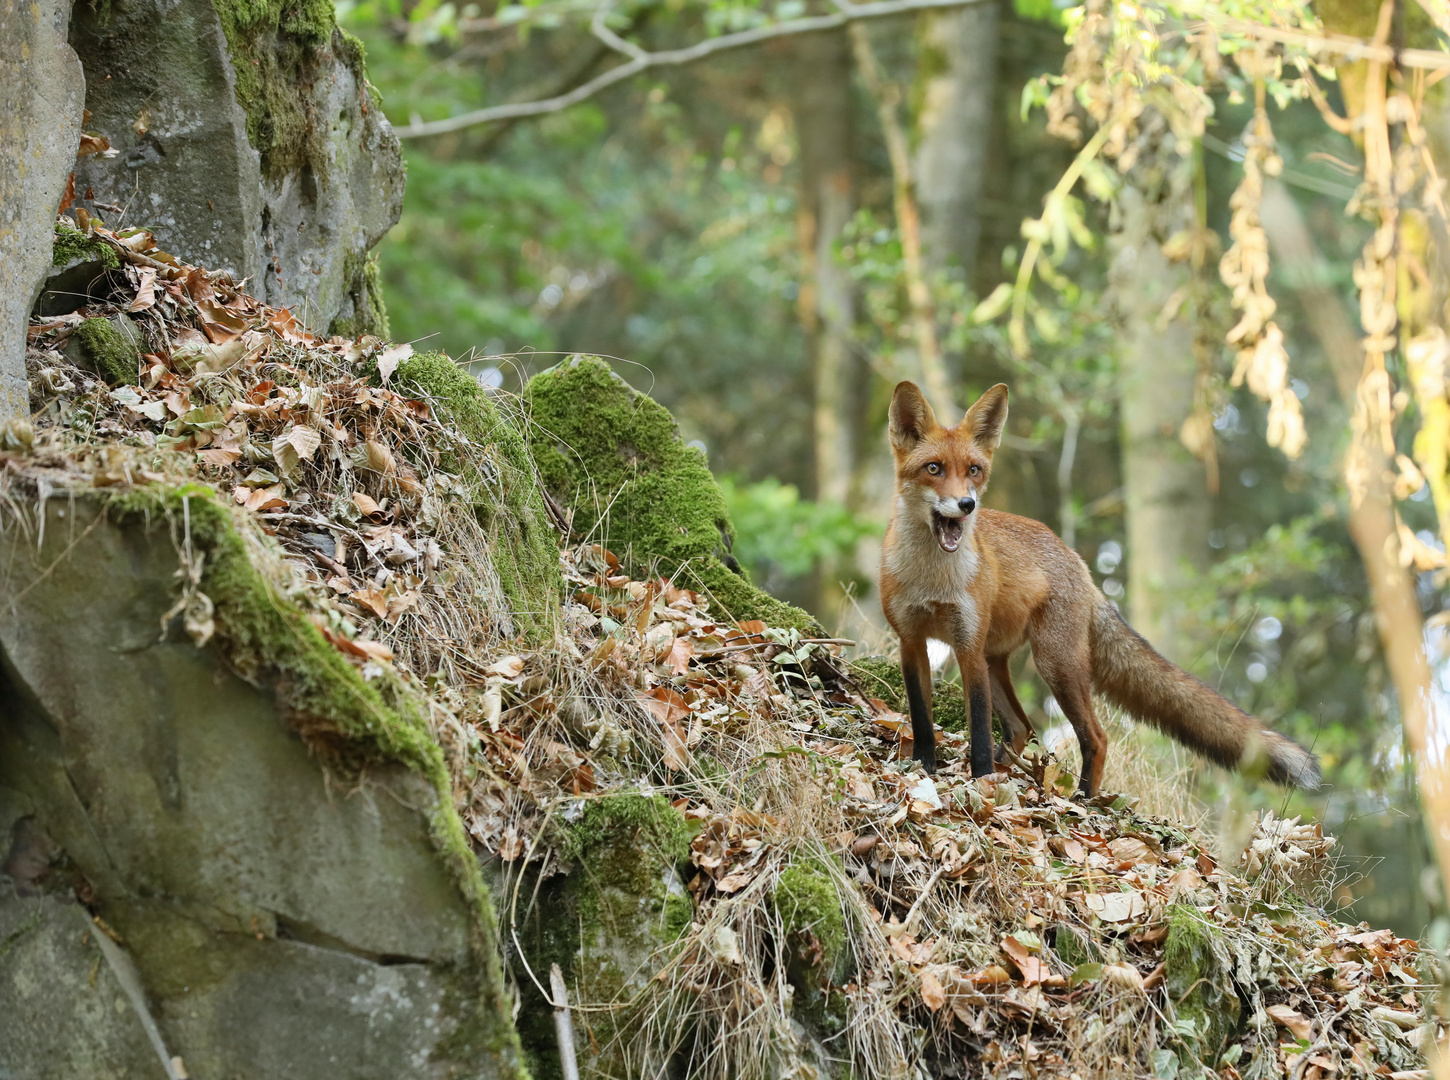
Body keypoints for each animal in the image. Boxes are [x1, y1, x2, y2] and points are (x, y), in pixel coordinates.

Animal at [875, 379, 1322, 794]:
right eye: (934, 468)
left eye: (974, 470)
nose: (967, 506)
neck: (933, 580)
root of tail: (1080, 566)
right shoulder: (911, 640)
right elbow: (922, 719)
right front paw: (922, 768)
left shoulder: (966, 645)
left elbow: (980, 733)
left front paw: (981, 781)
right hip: (999, 658)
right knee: (1021, 728)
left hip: (1052, 662)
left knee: (1095, 736)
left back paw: (1083, 799)